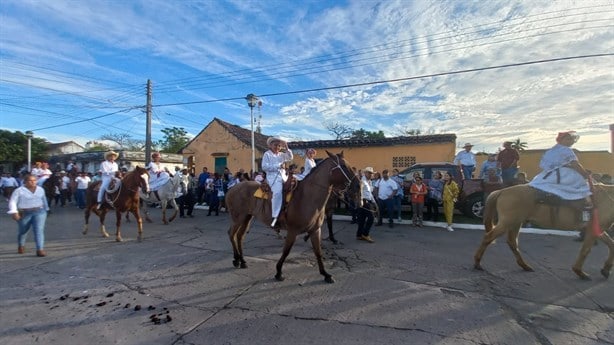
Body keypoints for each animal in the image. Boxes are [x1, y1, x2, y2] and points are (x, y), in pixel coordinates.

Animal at [226, 150, 364, 282]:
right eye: (344, 166)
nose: (359, 186)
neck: (307, 197)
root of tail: (232, 188)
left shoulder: (315, 230)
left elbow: (318, 252)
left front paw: (325, 274)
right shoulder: (293, 231)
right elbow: (286, 251)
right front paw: (278, 272)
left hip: (247, 217)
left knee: (240, 236)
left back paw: (242, 261)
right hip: (238, 218)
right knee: (232, 234)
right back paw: (236, 260)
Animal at [474, 183, 612, 280]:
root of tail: (502, 191)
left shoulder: (598, 230)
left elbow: (611, 244)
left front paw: (606, 270)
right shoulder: (593, 230)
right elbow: (586, 250)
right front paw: (580, 272)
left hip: (516, 222)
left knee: (512, 242)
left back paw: (525, 265)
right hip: (507, 222)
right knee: (488, 237)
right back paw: (477, 263)